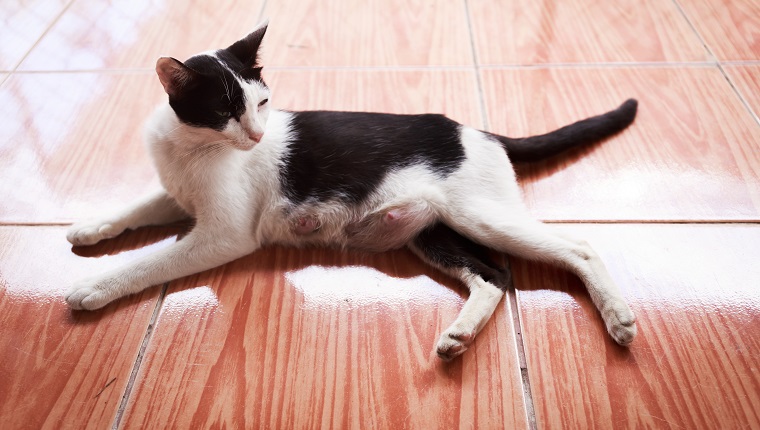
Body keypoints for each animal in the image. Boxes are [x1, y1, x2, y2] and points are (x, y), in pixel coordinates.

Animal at [65, 21, 640, 362]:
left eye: (262, 103)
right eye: (226, 109)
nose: (256, 136)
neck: (190, 148)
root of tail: (480, 131)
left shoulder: (223, 234)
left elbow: (151, 261)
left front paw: (93, 287)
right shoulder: (175, 195)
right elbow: (135, 208)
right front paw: (90, 227)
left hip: (480, 215)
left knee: (578, 247)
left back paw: (618, 318)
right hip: (430, 233)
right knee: (493, 277)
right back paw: (459, 335)